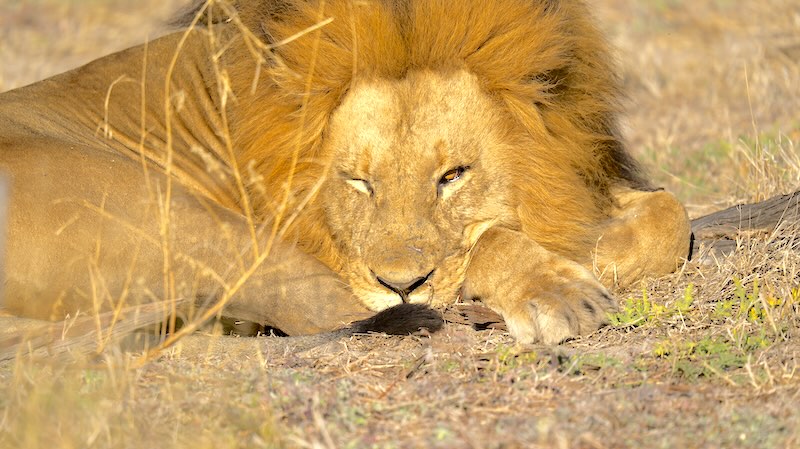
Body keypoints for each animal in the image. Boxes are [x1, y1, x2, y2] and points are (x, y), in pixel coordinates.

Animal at [0, 0, 691, 345]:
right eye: (358, 181)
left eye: (453, 175)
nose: (401, 283)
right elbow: (486, 242)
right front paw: (560, 289)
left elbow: (670, 213)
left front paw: (599, 249)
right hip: (186, 218)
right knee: (321, 315)